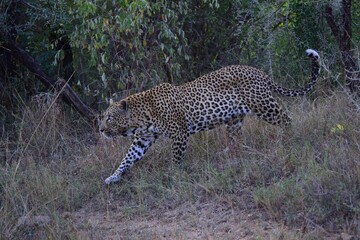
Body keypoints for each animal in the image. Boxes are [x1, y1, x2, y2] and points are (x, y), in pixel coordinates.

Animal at [99, 48, 320, 184]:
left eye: (109, 118)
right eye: (104, 118)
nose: (100, 130)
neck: (140, 119)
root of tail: (260, 72)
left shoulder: (179, 134)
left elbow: (176, 158)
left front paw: (175, 174)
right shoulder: (142, 140)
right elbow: (127, 158)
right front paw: (113, 177)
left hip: (264, 106)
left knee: (287, 120)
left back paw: (290, 139)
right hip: (234, 120)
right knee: (236, 141)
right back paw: (227, 154)